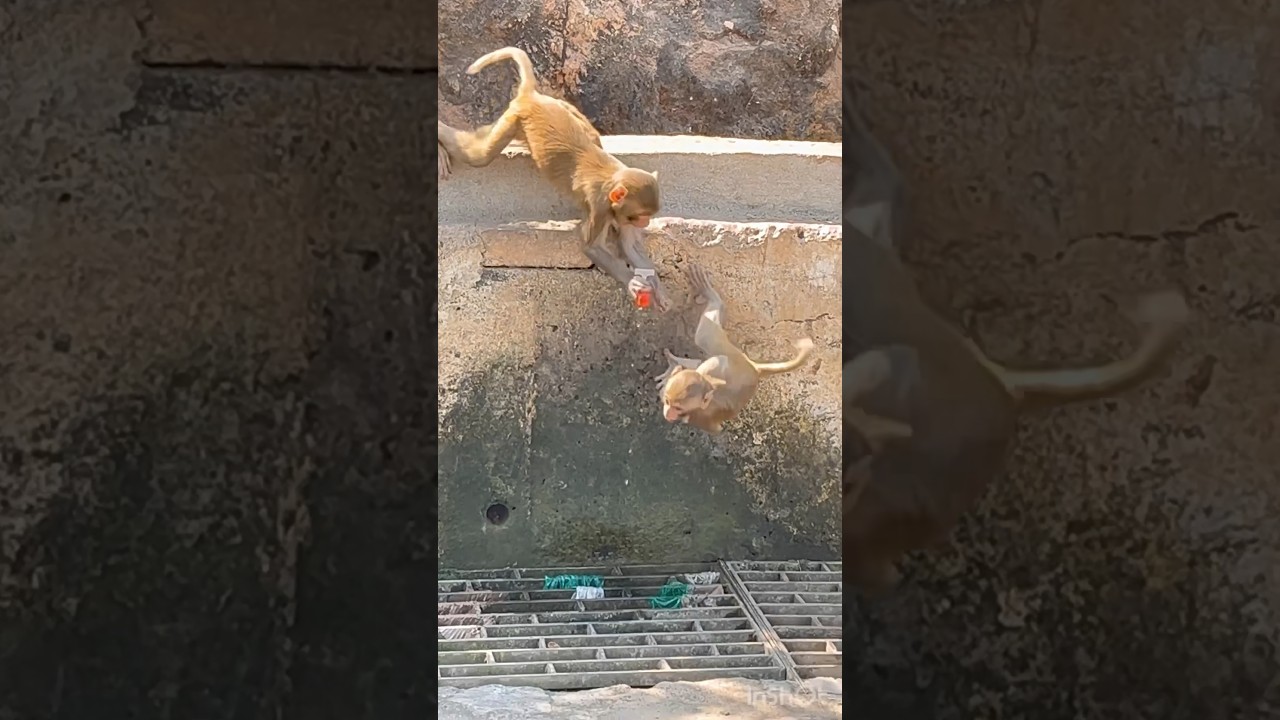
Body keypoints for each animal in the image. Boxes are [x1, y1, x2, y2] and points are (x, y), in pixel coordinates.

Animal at [437, 47, 670, 311]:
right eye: (641, 216)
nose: (646, 223)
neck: (612, 178)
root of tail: (533, 98)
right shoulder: (600, 207)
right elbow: (591, 246)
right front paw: (633, 284)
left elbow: (629, 246)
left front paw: (658, 288)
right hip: (514, 119)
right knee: (480, 155)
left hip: (557, 106)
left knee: (591, 135)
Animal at [654, 264, 816, 434]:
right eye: (668, 401)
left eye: (678, 408)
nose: (668, 414)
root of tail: (755, 369)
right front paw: (674, 369)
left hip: (734, 358)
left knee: (708, 344)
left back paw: (712, 297)